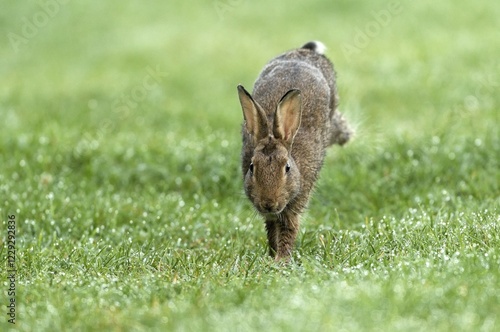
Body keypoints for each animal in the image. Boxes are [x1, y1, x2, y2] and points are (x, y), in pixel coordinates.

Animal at [237, 40, 352, 260]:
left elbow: (288, 230)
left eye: (287, 168)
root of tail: (304, 51)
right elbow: (272, 229)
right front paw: (273, 256)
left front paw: (281, 260)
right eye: (252, 167)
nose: (268, 203)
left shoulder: (295, 205)